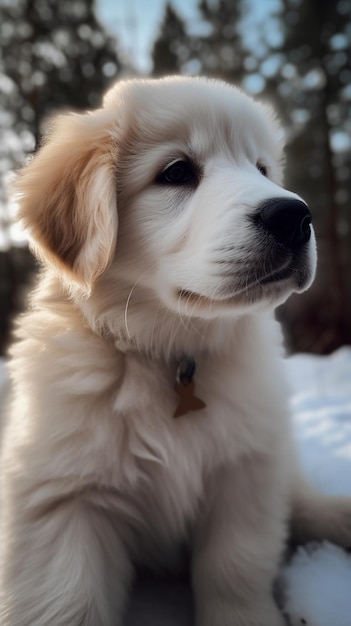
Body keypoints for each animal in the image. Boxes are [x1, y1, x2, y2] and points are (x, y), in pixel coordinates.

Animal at [1, 78, 350, 624]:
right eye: (177, 172)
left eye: (261, 169)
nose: (295, 215)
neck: (169, 354)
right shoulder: (63, 499)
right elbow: (67, 600)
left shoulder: (245, 473)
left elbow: (234, 568)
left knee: (302, 502)